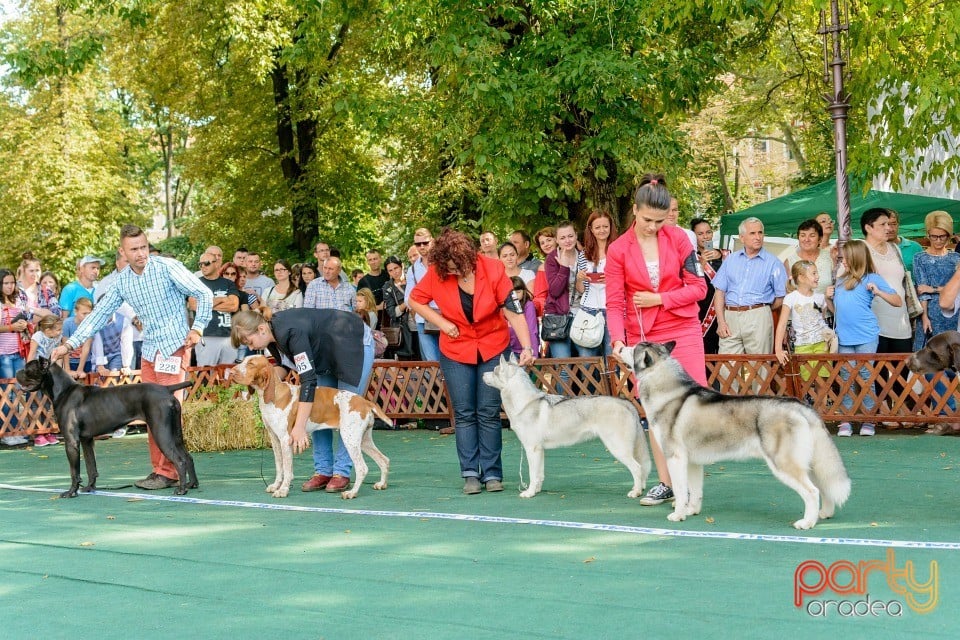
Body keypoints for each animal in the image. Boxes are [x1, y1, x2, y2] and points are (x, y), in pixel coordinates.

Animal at [16, 358, 200, 498]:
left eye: (27, 369)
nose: (17, 372)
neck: (63, 390)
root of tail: (167, 389)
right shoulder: (86, 440)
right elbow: (91, 466)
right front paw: (89, 488)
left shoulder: (71, 442)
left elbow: (74, 471)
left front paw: (71, 492)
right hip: (175, 434)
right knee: (188, 457)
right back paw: (192, 484)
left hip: (161, 433)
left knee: (179, 460)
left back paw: (181, 489)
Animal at [231, 356, 392, 500]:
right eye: (243, 361)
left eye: (251, 363)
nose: (231, 372)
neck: (275, 395)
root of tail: (365, 402)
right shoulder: (275, 439)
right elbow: (279, 467)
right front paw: (276, 485)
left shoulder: (285, 440)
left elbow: (287, 470)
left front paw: (283, 490)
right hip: (363, 440)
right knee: (384, 460)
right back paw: (382, 484)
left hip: (350, 439)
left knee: (362, 468)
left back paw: (352, 493)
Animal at [480, 356, 652, 500]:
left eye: (494, 371)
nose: (482, 374)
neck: (524, 403)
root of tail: (626, 403)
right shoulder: (539, 451)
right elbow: (539, 475)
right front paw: (537, 490)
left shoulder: (531, 449)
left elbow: (532, 475)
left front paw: (529, 493)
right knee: (641, 469)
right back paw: (640, 488)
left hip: (618, 449)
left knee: (637, 468)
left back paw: (636, 492)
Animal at [624, 340, 848, 528]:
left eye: (633, 348)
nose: (620, 347)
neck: (667, 390)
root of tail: (801, 406)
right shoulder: (692, 462)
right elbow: (694, 491)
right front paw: (691, 511)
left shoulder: (675, 458)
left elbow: (680, 491)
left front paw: (679, 514)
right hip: (809, 463)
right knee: (823, 486)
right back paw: (824, 514)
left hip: (784, 463)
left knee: (812, 491)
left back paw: (807, 522)